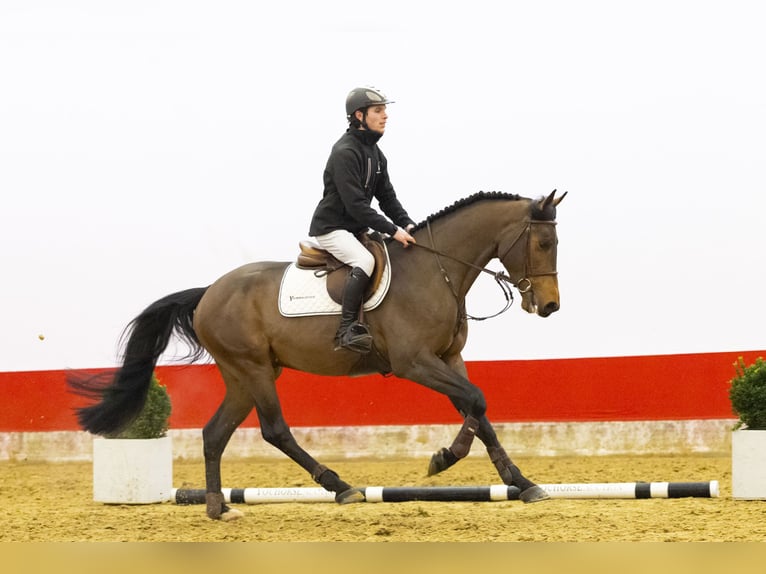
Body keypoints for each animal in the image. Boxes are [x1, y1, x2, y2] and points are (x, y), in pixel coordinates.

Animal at [68, 189, 566, 520]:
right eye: (543, 243)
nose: (549, 307)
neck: (435, 269)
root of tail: (208, 292)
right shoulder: (415, 363)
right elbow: (476, 401)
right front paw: (444, 458)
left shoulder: (448, 358)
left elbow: (476, 409)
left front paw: (521, 483)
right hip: (253, 369)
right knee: (274, 430)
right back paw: (340, 487)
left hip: (244, 375)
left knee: (214, 434)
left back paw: (218, 507)